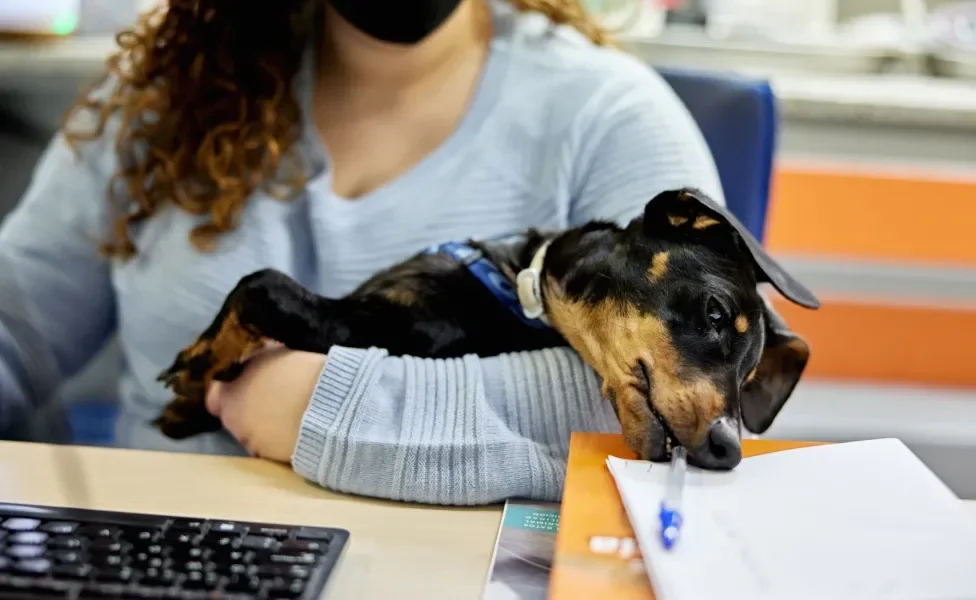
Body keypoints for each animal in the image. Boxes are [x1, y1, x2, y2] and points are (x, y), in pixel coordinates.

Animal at [156, 188, 820, 468]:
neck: (518, 289)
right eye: (715, 315)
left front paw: (197, 366)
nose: (729, 451)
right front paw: (190, 403)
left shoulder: (376, 329)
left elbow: (262, 286)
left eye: (750, 377)